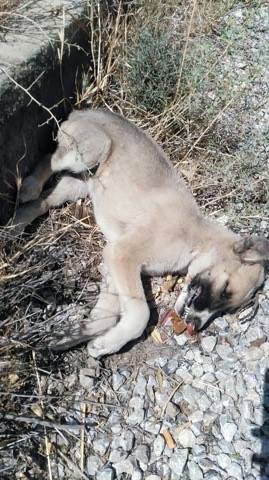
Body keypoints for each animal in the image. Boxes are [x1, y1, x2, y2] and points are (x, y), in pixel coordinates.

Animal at [11, 109, 268, 356]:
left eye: (227, 308)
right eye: (225, 291)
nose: (195, 325)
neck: (195, 240)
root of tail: (88, 110)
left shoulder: (113, 271)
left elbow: (104, 318)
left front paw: (81, 339)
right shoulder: (121, 255)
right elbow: (140, 314)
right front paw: (109, 342)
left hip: (78, 184)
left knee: (44, 201)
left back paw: (15, 225)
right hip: (88, 152)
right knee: (50, 158)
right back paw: (30, 186)